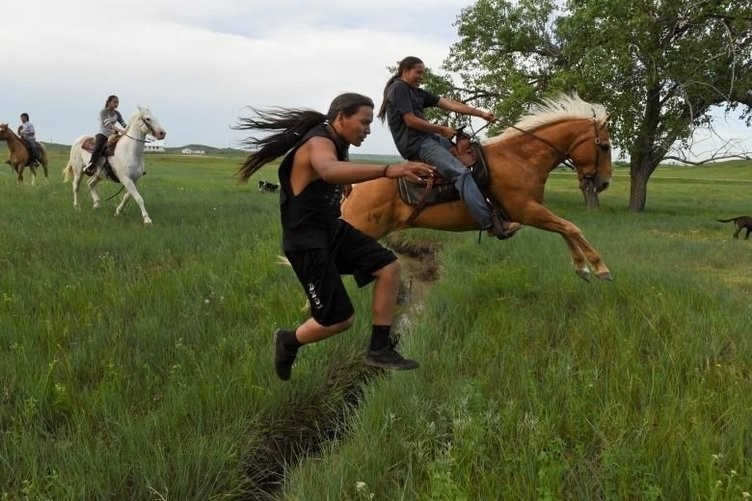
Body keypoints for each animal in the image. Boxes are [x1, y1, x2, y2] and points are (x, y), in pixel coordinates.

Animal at [340, 94, 612, 282]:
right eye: (605, 146)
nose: (604, 183)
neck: (519, 158)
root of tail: (351, 190)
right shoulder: (526, 211)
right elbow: (572, 227)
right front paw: (600, 267)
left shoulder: (533, 211)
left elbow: (565, 229)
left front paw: (582, 268)